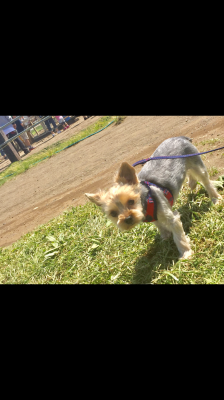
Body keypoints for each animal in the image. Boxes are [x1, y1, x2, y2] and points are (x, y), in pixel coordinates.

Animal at [85, 136, 221, 258]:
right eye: (113, 213)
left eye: (131, 201)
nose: (128, 218)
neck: (146, 200)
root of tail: (181, 137)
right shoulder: (153, 217)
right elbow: (159, 225)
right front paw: (165, 236)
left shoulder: (172, 218)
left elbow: (179, 237)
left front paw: (186, 253)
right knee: (190, 174)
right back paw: (192, 183)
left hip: (195, 162)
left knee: (206, 181)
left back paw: (215, 199)